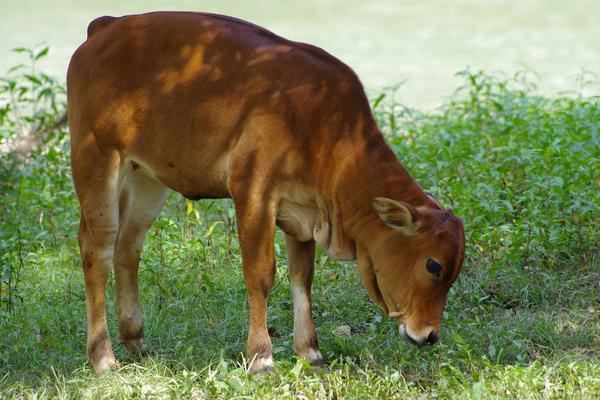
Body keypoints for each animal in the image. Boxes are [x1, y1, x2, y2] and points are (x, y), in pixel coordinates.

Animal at [68, 12, 466, 376]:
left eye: (454, 272)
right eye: (433, 265)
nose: (430, 335)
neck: (331, 135)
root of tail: (107, 26)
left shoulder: (304, 212)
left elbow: (302, 279)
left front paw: (310, 353)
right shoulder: (253, 190)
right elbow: (260, 274)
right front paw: (261, 357)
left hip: (147, 176)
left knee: (128, 245)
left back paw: (136, 341)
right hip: (96, 156)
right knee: (97, 248)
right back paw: (103, 357)